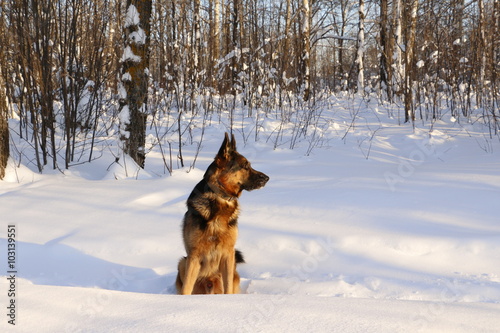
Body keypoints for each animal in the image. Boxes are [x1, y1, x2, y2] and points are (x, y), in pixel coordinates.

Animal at [177, 132, 270, 294]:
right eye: (245, 166)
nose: (267, 178)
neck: (220, 197)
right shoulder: (193, 256)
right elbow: (186, 288)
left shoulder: (228, 254)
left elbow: (228, 288)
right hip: (183, 262)